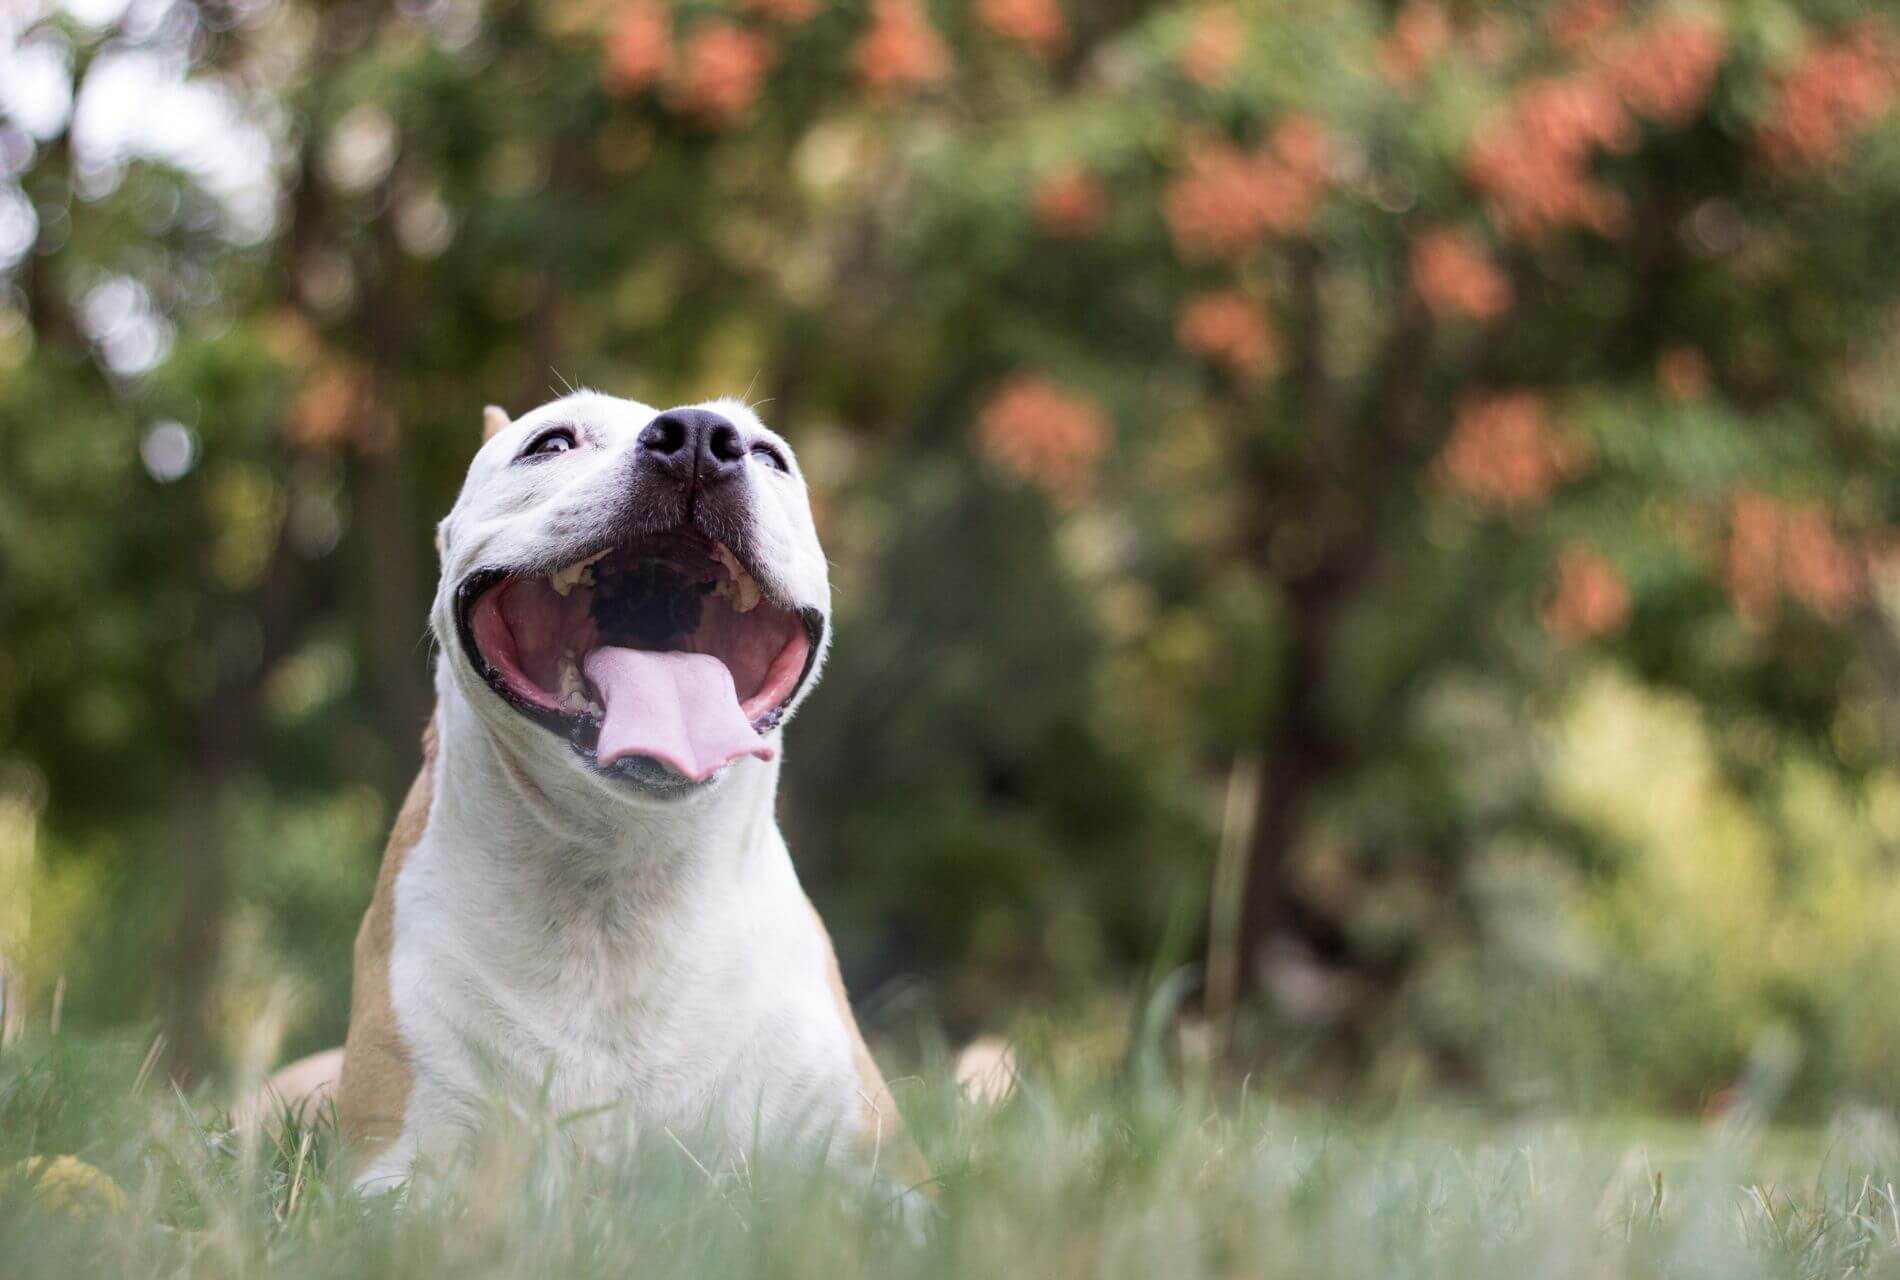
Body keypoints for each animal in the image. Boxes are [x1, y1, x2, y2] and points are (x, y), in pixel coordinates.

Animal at [262, 391, 927, 1200]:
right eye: (551, 443)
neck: (622, 878)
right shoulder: (399, 1165)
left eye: (771, 456)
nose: (700, 436)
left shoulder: (880, 1169)